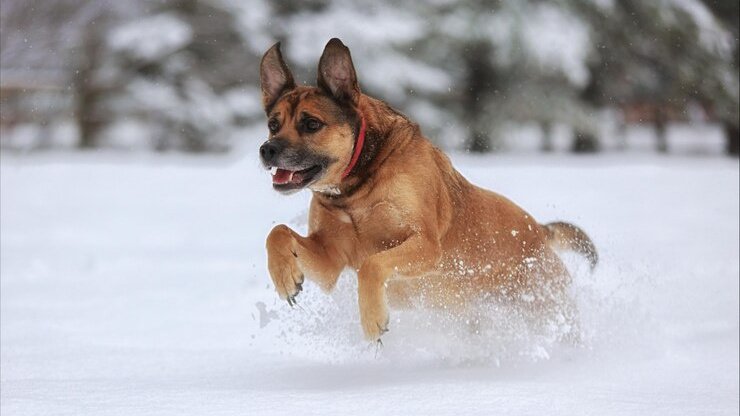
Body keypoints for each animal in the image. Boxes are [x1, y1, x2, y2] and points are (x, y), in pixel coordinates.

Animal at [258, 38, 596, 342]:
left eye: (311, 124)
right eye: (273, 124)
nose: (267, 150)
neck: (356, 188)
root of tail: (538, 231)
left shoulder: (426, 244)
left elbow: (372, 264)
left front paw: (372, 319)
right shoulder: (331, 258)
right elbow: (277, 232)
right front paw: (285, 277)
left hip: (543, 303)